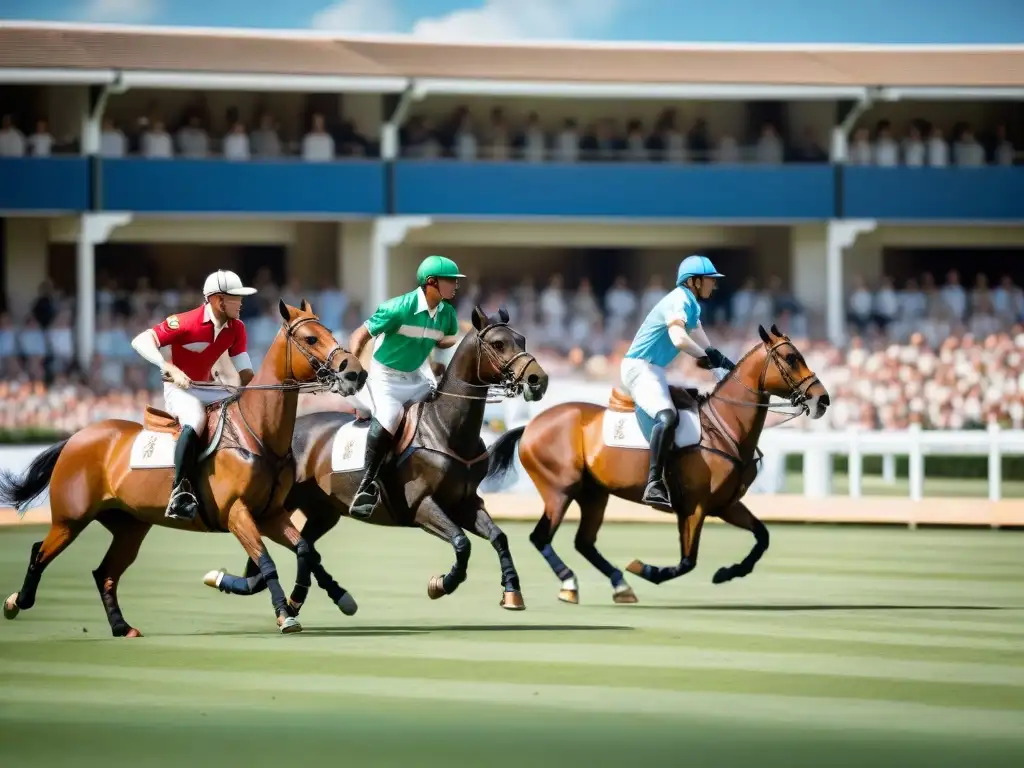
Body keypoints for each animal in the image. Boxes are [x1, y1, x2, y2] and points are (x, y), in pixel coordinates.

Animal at [0, 299, 368, 638]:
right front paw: (284, 614)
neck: (259, 432)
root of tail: (75, 437)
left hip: (129, 526)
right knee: (40, 552)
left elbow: (305, 551)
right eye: (310, 338)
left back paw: (121, 626)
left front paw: (336, 598)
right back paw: (17, 602)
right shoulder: (236, 514)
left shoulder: (270, 514)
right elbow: (267, 562)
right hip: (70, 518)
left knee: (104, 572)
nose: (356, 372)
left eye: (329, 332)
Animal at [202, 307, 548, 614]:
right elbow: (462, 543)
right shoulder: (421, 505)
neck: (445, 429)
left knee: (303, 549)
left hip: (321, 512)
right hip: (279, 505)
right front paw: (440, 584)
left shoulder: (465, 502)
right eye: (499, 343)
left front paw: (512, 592)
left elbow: (499, 537)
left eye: (522, 339)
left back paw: (294, 598)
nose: (538, 380)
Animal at [483, 325, 827, 606]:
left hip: (594, 493)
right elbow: (688, 561)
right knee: (541, 537)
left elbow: (762, 536)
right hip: (559, 490)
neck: (726, 427)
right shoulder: (695, 507)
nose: (822, 400)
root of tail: (529, 426)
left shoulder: (726, 504)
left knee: (584, 542)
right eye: (791, 358)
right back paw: (571, 583)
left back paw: (620, 585)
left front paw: (728, 572)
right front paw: (648, 569)